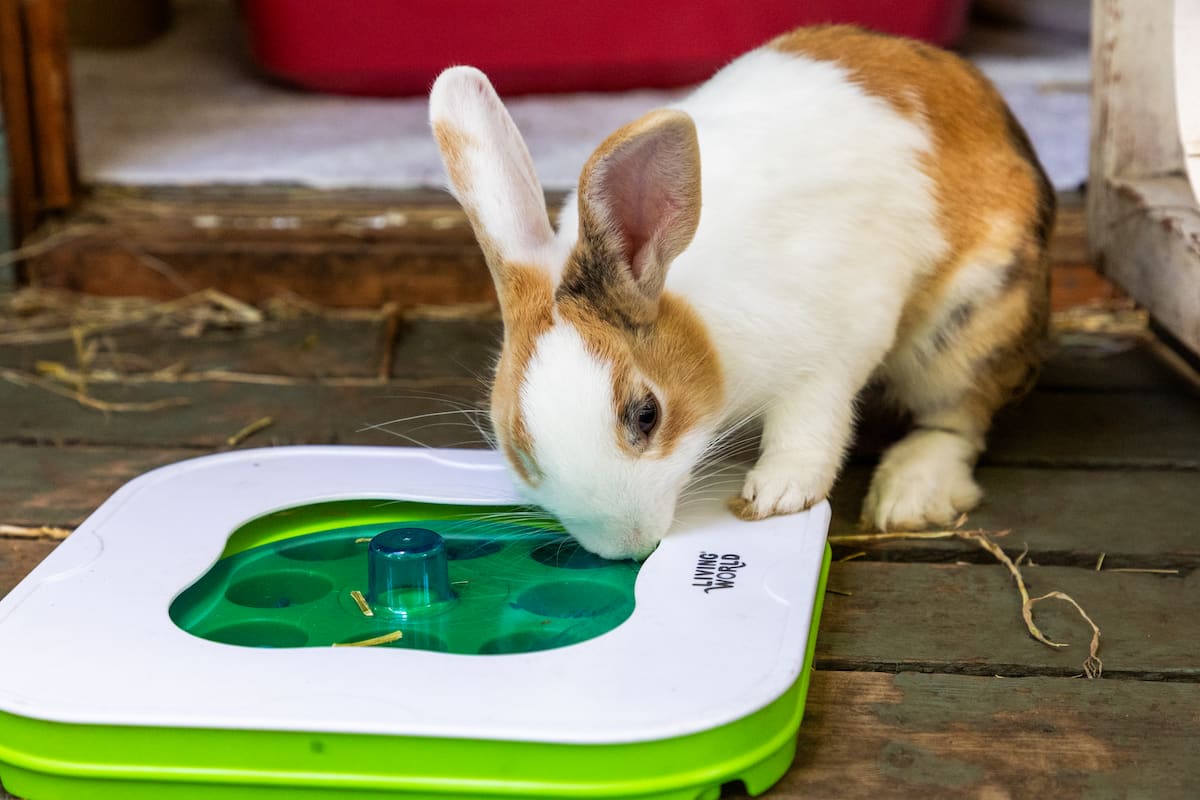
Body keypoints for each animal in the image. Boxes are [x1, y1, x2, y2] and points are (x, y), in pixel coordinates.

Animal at [428, 25, 1054, 560]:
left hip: (969, 324)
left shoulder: (831, 353)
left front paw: (777, 494)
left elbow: (810, 425)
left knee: (958, 419)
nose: (628, 546)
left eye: (647, 416)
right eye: (518, 448)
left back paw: (908, 494)